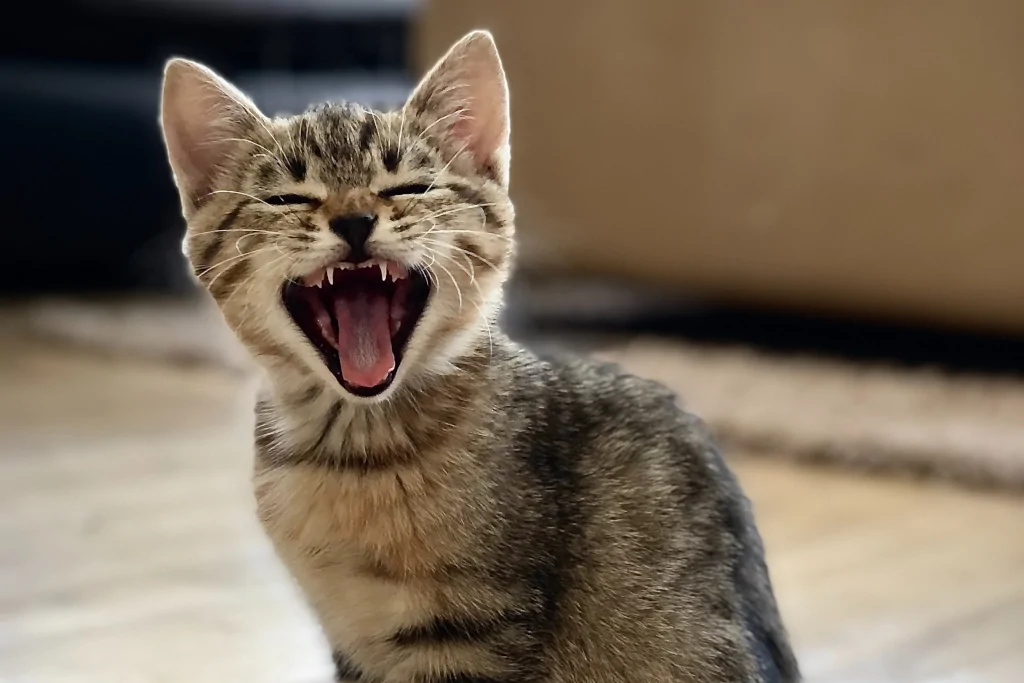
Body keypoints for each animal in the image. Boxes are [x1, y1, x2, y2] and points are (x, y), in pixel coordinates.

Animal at [159, 29, 798, 683]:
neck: (351, 448)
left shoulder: (472, 633)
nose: (355, 219)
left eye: (409, 187)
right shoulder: (351, 645)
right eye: (287, 197)